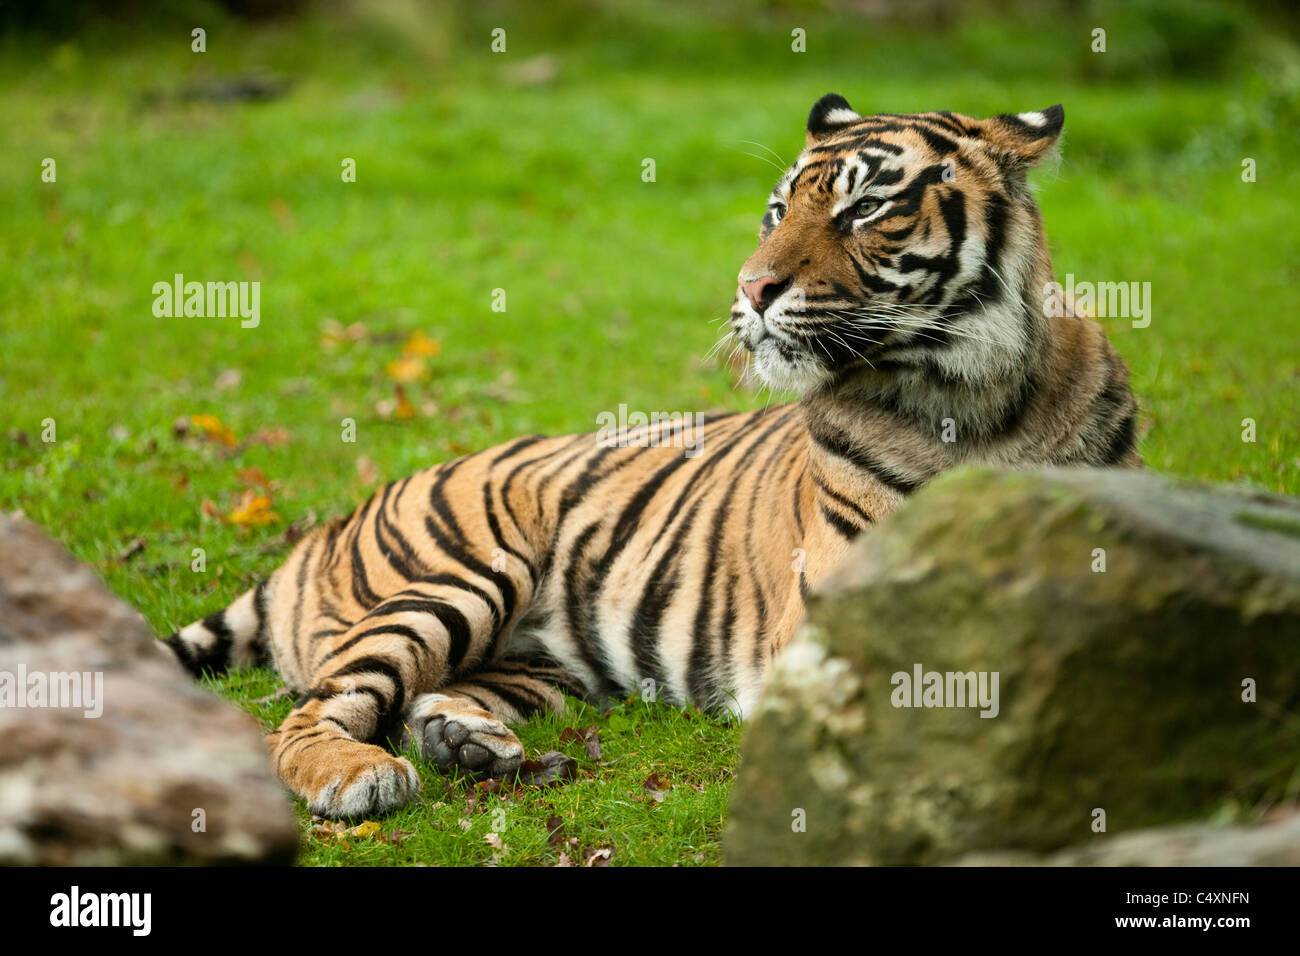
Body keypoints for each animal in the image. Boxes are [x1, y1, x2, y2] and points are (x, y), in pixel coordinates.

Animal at [159, 95, 1138, 816]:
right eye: (779, 209)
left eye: (865, 208)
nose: (752, 288)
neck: (977, 400)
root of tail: (323, 532)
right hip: (461, 573)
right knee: (312, 711)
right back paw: (357, 776)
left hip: (545, 663)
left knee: (424, 701)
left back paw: (464, 741)